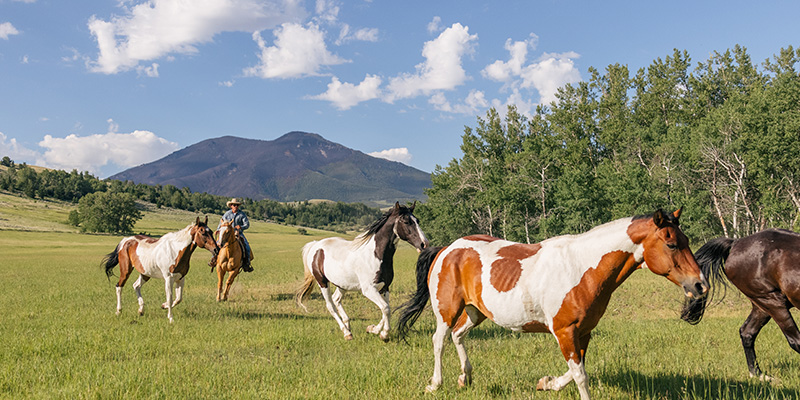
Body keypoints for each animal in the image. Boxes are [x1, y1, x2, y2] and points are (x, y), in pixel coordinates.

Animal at [296, 203, 432, 340]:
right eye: (406, 221)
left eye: (417, 220)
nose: (424, 244)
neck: (375, 255)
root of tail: (315, 245)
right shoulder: (369, 289)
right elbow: (385, 308)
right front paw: (384, 334)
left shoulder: (385, 287)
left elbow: (386, 309)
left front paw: (373, 329)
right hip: (322, 282)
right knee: (330, 306)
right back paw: (346, 333)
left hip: (343, 285)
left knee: (336, 299)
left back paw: (348, 327)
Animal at [396, 209, 708, 400]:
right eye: (671, 244)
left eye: (686, 240)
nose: (700, 285)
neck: (582, 267)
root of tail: (447, 249)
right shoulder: (564, 331)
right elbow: (580, 375)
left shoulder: (583, 332)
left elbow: (575, 371)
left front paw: (546, 383)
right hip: (447, 310)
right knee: (439, 340)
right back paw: (435, 384)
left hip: (476, 311)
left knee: (459, 335)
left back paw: (466, 378)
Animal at [680, 230, 800, 380]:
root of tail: (735, 243)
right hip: (771, 300)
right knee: (794, 340)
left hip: (763, 305)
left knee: (747, 333)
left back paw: (758, 375)